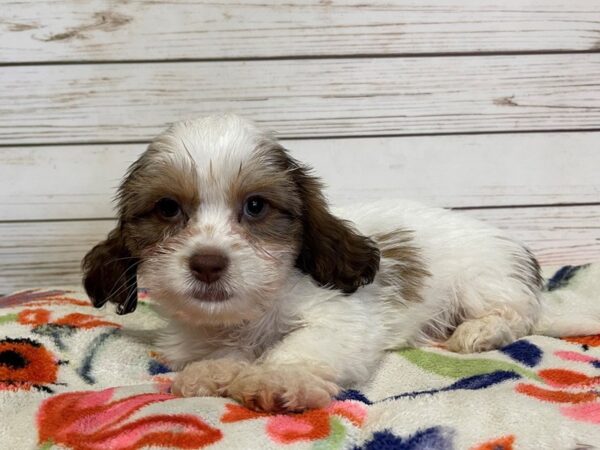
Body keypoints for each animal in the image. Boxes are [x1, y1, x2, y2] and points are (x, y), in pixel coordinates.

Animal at [82, 114, 596, 414]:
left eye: (255, 206)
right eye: (168, 209)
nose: (207, 263)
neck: (249, 314)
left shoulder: (341, 319)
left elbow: (302, 346)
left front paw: (277, 377)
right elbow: (219, 353)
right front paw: (213, 371)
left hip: (482, 280)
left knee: (517, 314)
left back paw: (479, 331)